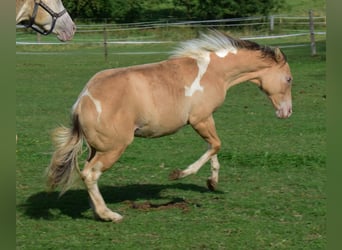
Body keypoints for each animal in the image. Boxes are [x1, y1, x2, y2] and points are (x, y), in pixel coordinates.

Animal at [46, 30, 294, 221]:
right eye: (289, 79)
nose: (287, 112)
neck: (213, 72)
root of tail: (82, 101)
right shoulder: (200, 119)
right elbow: (215, 145)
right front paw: (180, 174)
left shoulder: (207, 118)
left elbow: (214, 148)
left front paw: (212, 182)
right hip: (113, 148)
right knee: (90, 174)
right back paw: (109, 215)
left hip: (96, 148)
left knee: (85, 173)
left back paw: (97, 211)